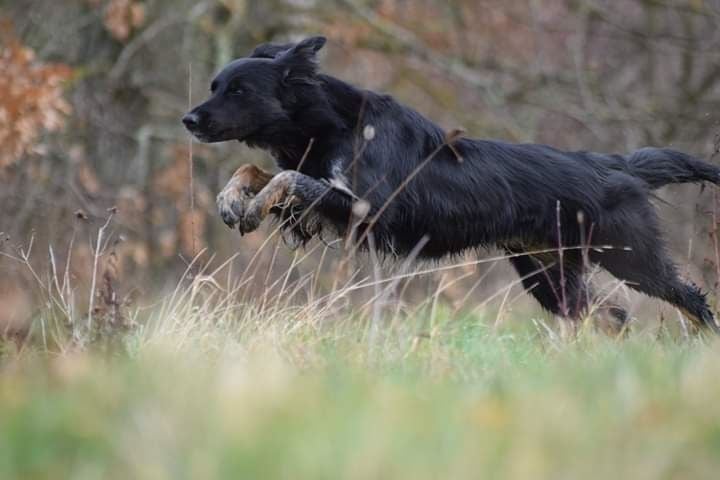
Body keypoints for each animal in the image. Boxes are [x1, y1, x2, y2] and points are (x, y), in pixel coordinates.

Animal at [184, 36, 720, 334]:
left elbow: (288, 177)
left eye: (239, 90)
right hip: (549, 274)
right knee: (613, 318)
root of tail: (615, 163)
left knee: (691, 299)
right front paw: (232, 200)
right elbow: (260, 172)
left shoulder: (370, 211)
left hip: (631, 256)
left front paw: (250, 207)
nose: (188, 119)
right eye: (214, 86)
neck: (333, 123)